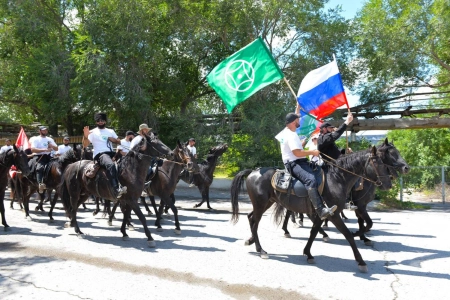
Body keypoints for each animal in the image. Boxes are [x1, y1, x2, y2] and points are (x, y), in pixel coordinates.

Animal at [230, 146, 392, 274]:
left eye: (385, 162)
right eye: (377, 162)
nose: (388, 184)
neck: (337, 179)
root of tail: (253, 172)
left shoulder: (322, 213)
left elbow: (313, 232)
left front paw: (308, 253)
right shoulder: (334, 214)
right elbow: (348, 235)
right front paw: (361, 261)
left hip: (265, 204)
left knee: (251, 218)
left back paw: (252, 242)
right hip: (260, 204)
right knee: (255, 221)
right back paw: (261, 250)